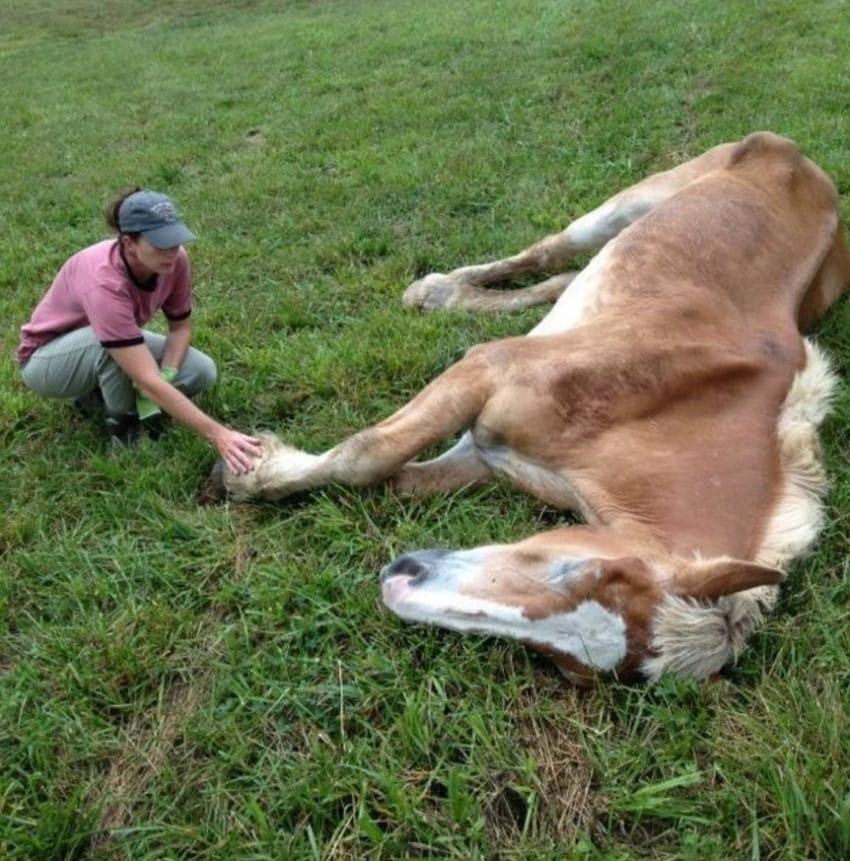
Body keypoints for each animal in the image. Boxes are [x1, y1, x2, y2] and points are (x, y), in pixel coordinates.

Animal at [209, 133, 844, 684]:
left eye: (566, 666)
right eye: (582, 570)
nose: (398, 582)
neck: (653, 425)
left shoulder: (485, 453)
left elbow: (391, 480)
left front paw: (262, 467)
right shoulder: (489, 369)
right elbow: (368, 455)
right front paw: (249, 472)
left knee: (559, 278)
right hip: (621, 208)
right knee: (548, 252)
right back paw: (432, 289)